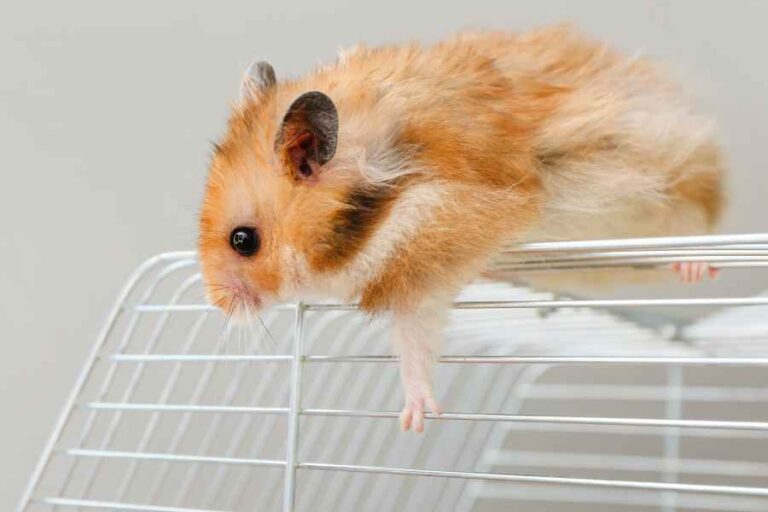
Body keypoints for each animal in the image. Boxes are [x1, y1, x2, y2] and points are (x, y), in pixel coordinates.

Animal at [199, 25, 724, 433]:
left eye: (243, 241)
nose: (218, 305)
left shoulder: (426, 256)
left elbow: (414, 344)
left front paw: (416, 421)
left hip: (673, 183)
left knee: (696, 222)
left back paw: (698, 266)